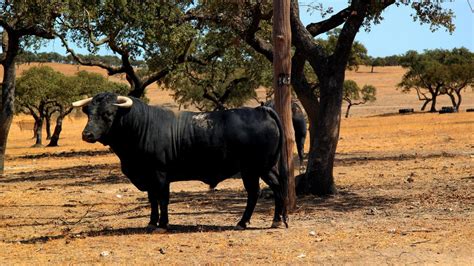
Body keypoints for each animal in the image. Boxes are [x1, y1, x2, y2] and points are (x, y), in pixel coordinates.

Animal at [74, 93, 288, 231]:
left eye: (107, 114)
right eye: (88, 112)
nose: (87, 134)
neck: (141, 126)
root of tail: (261, 109)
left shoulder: (159, 174)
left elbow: (162, 199)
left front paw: (162, 224)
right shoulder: (150, 177)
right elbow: (152, 199)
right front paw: (152, 222)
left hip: (253, 169)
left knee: (258, 192)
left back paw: (247, 222)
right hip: (263, 168)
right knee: (275, 188)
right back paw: (276, 220)